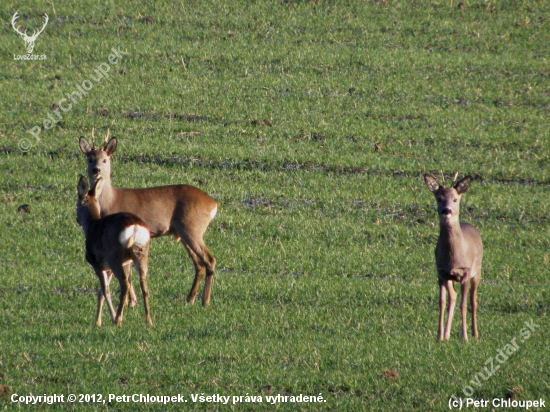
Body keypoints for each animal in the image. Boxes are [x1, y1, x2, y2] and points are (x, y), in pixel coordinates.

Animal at [76, 175, 152, 326]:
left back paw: (118, 319)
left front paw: (109, 318)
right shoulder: (108, 267)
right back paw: (149, 321)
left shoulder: (97, 264)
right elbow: (101, 292)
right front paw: (97, 321)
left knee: (125, 284)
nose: (77, 219)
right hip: (140, 253)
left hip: (115, 257)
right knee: (144, 285)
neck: (91, 226)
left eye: (76, 204)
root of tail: (135, 227)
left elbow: (105, 290)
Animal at [80, 129, 218, 306]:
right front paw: (132, 301)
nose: (96, 170)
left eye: (105, 159)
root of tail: (213, 203)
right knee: (199, 263)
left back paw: (205, 301)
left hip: (192, 229)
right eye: (90, 158)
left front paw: (131, 302)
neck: (110, 200)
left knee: (209, 259)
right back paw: (190, 298)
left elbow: (127, 270)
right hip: (185, 233)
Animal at [424, 174, 486, 342]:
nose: (447, 210)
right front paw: (439, 336)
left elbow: (463, 305)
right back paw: (447, 334)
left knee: (473, 300)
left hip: (477, 271)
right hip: (451, 278)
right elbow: (442, 303)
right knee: (453, 296)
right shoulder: (441, 273)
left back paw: (475, 334)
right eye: (439, 198)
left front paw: (464, 337)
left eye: (455, 199)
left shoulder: (465, 272)